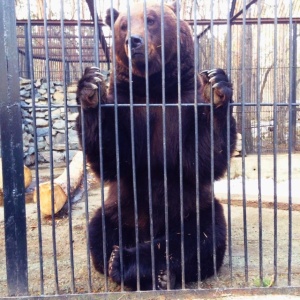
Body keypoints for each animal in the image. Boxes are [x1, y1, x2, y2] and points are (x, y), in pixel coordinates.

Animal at [76, 0, 236, 290]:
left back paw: (151, 269)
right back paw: (119, 261)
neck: (154, 88)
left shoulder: (185, 103)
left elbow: (202, 158)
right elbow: (113, 157)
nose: (133, 41)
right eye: (124, 25)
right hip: (121, 210)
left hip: (192, 209)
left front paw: (217, 88)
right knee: (100, 230)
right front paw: (91, 87)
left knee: (203, 235)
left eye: (150, 20)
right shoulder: (127, 106)